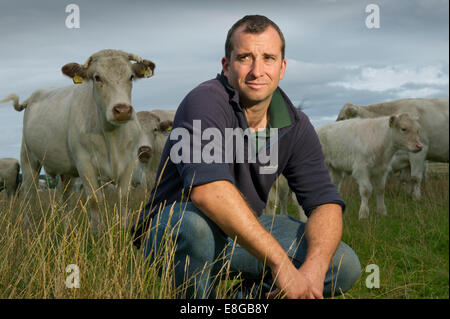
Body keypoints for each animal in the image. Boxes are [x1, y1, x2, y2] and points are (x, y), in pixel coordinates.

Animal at [0, 49, 155, 232]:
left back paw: (67, 228)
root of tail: (32, 97)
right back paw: (28, 229)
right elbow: (95, 199)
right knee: (29, 195)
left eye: (131, 76)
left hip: (65, 171)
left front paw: (123, 231)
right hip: (28, 159)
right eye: (97, 77)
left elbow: (124, 198)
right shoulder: (84, 163)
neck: (112, 137)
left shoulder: (130, 161)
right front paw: (97, 234)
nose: (122, 110)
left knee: (65, 198)